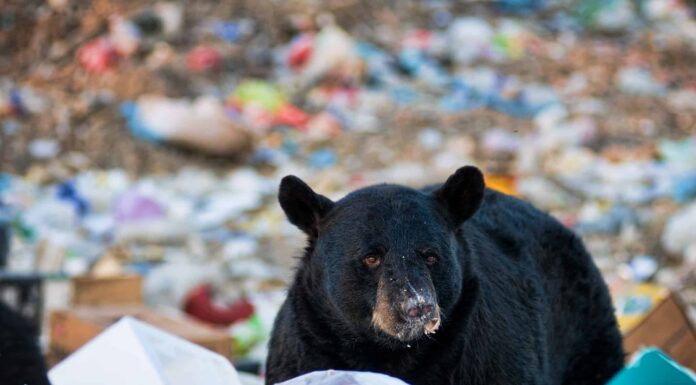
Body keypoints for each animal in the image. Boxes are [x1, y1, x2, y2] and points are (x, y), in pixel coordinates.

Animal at [268, 166, 624, 384]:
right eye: (371, 257)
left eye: (430, 256)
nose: (416, 307)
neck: (392, 354)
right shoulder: (304, 352)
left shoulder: (490, 359)